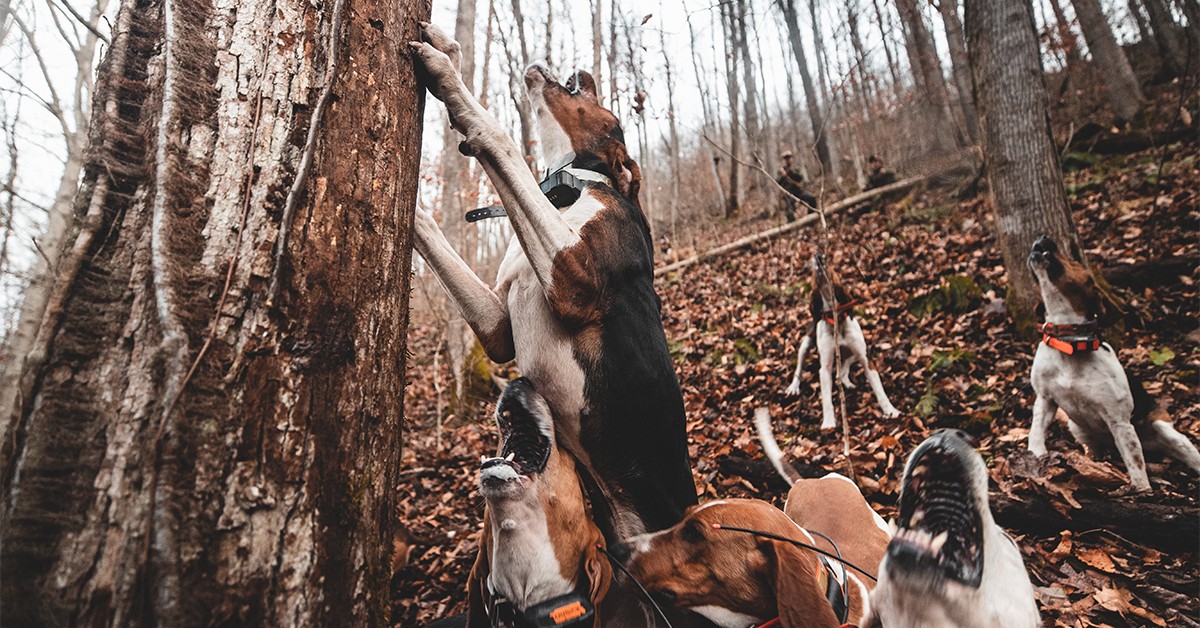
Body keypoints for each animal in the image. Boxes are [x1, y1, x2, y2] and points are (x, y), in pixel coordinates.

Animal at [410, 23, 700, 535]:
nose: (584, 70)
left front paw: (449, 80)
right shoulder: (496, 328)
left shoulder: (573, 281)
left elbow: (501, 138)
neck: (569, 193)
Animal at [782, 253, 897, 429]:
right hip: (805, 345)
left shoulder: (865, 359)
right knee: (799, 369)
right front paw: (829, 422)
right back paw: (793, 387)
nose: (819, 256)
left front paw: (891, 410)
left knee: (842, 371)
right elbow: (826, 399)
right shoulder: (825, 368)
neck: (837, 320)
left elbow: (880, 390)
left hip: (852, 354)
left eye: (830, 264)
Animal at [1022, 235, 1200, 492]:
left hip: (1165, 430)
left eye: (1077, 260)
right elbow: (1036, 432)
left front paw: (1142, 492)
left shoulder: (1120, 422)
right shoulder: (1045, 399)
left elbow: (1136, 465)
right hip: (1078, 429)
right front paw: (1035, 457)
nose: (1043, 238)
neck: (1069, 344)